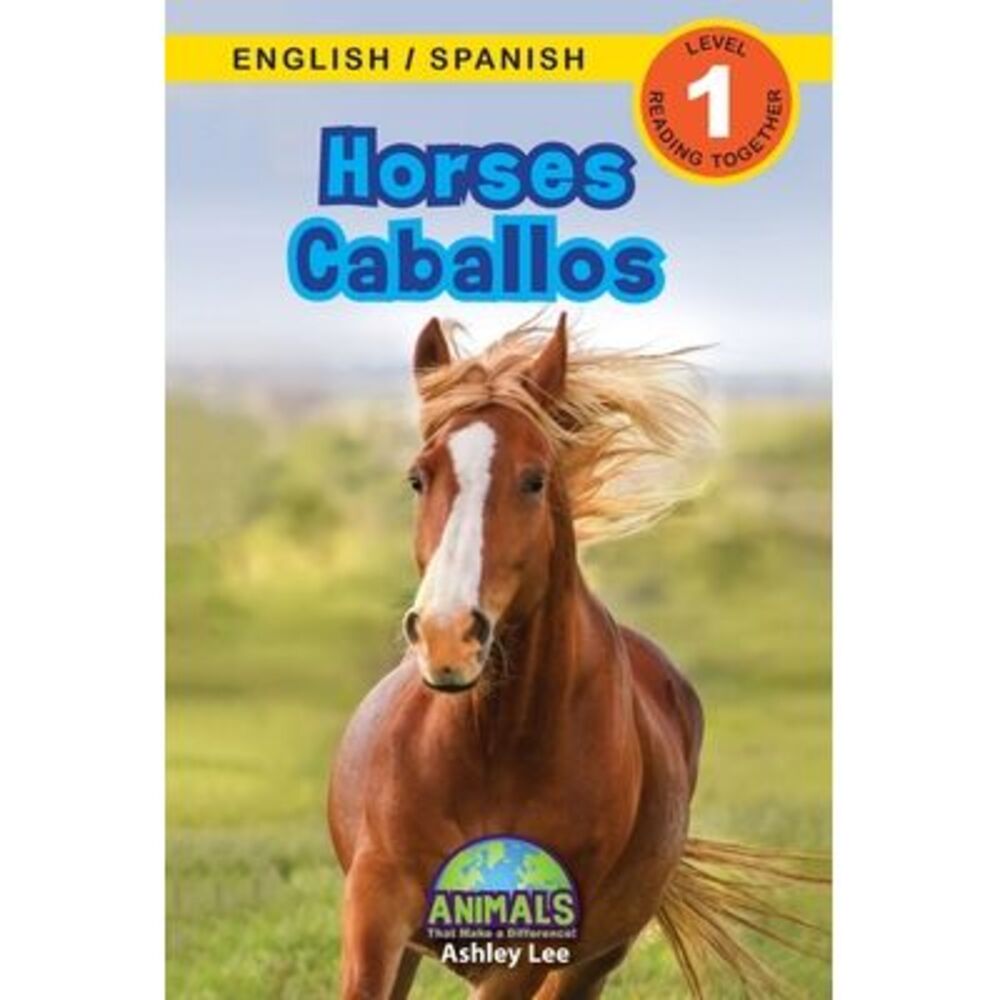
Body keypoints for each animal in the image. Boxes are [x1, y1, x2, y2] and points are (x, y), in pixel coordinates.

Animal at [329, 315, 823, 999]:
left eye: (535, 479)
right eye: (417, 478)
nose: (448, 636)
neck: (488, 752)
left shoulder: (528, 948)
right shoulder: (377, 908)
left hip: (590, 961)